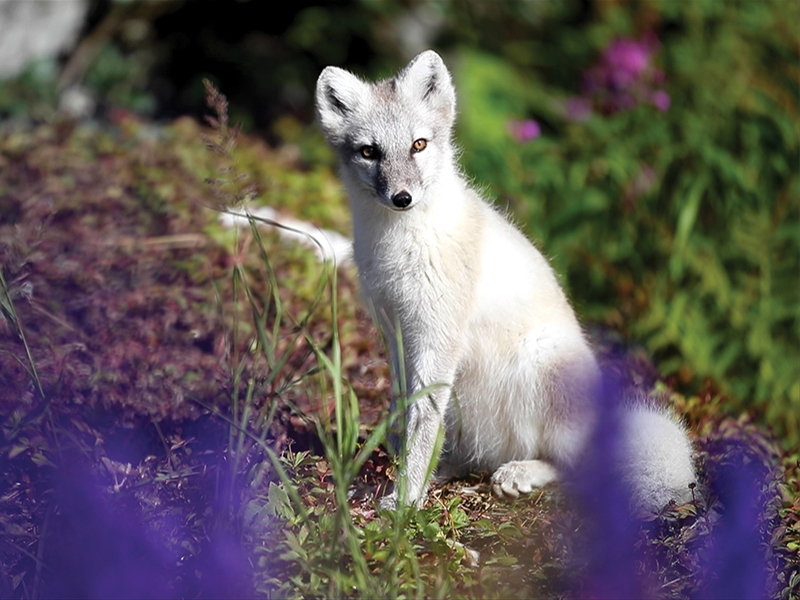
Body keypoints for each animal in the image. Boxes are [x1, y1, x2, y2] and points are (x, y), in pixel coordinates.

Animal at [315, 50, 696, 512]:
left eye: (418, 145)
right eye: (369, 151)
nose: (402, 198)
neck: (398, 243)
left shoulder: (437, 335)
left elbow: (423, 421)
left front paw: (405, 500)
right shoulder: (397, 332)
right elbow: (404, 410)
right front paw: (400, 475)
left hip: (541, 367)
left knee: (577, 469)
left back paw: (519, 473)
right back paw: (449, 469)